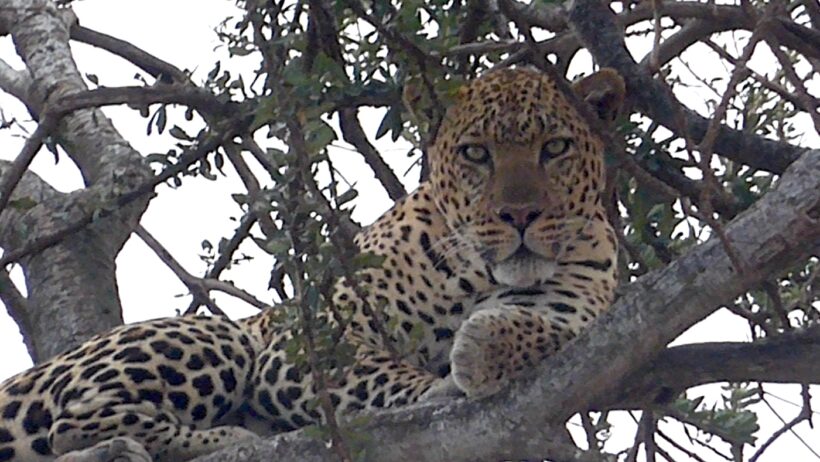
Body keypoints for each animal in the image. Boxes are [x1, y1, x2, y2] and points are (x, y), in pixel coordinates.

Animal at [0, 67, 620, 460]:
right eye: (476, 154)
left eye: (556, 148)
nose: (520, 215)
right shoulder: (311, 335)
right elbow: (374, 374)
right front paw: (436, 387)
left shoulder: (582, 304)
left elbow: (553, 332)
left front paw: (481, 348)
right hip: (214, 338)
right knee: (74, 423)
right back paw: (219, 440)